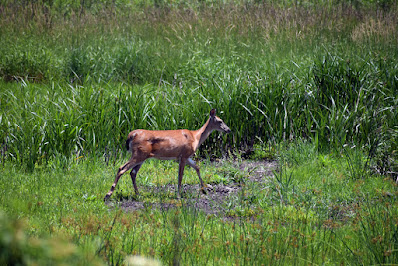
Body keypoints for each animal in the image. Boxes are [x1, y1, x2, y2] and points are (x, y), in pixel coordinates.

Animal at [104, 109, 232, 201]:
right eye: (220, 121)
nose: (229, 130)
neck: (196, 137)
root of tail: (131, 135)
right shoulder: (183, 155)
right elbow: (180, 175)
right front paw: (179, 195)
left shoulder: (186, 156)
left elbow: (197, 167)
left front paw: (204, 189)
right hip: (138, 154)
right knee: (122, 168)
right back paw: (108, 195)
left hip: (142, 156)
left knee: (132, 172)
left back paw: (138, 194)